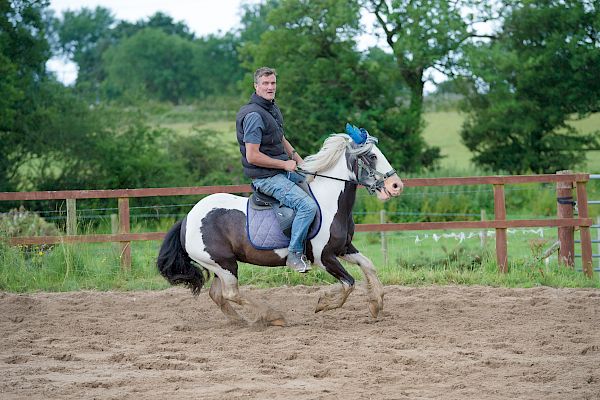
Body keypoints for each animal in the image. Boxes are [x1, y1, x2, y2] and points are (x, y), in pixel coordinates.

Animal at [157, 131, 406, 324]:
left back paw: (241, 321)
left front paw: (376, 304)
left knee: (218, 295)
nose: (397, 185)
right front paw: (323, 302)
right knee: (230, 293)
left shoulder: (344, 248)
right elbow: (349, 284)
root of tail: (187, 219)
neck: (328, 203)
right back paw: (272, 316)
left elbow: (369, 266)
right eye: (372, 156)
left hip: (221, 265)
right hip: (224, 265)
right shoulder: (323, 257)